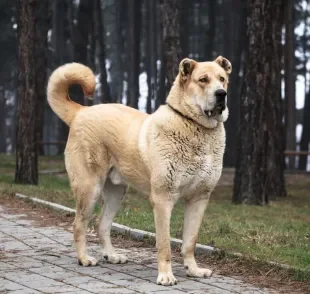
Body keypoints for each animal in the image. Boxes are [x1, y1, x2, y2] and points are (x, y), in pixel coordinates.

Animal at [47, 56, 231, 286]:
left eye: (222, 79)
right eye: (203, 80)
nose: (221, 94)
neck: (197, 128)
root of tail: (81, 111)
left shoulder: (199, 199)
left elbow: (190, 241)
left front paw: (194, 270)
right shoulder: (163, 199)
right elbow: (164, 244)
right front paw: (166, 275)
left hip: (116, 193)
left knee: (101, 225)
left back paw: (111, 255)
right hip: (89, 189)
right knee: (79, 225)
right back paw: (84, 259)